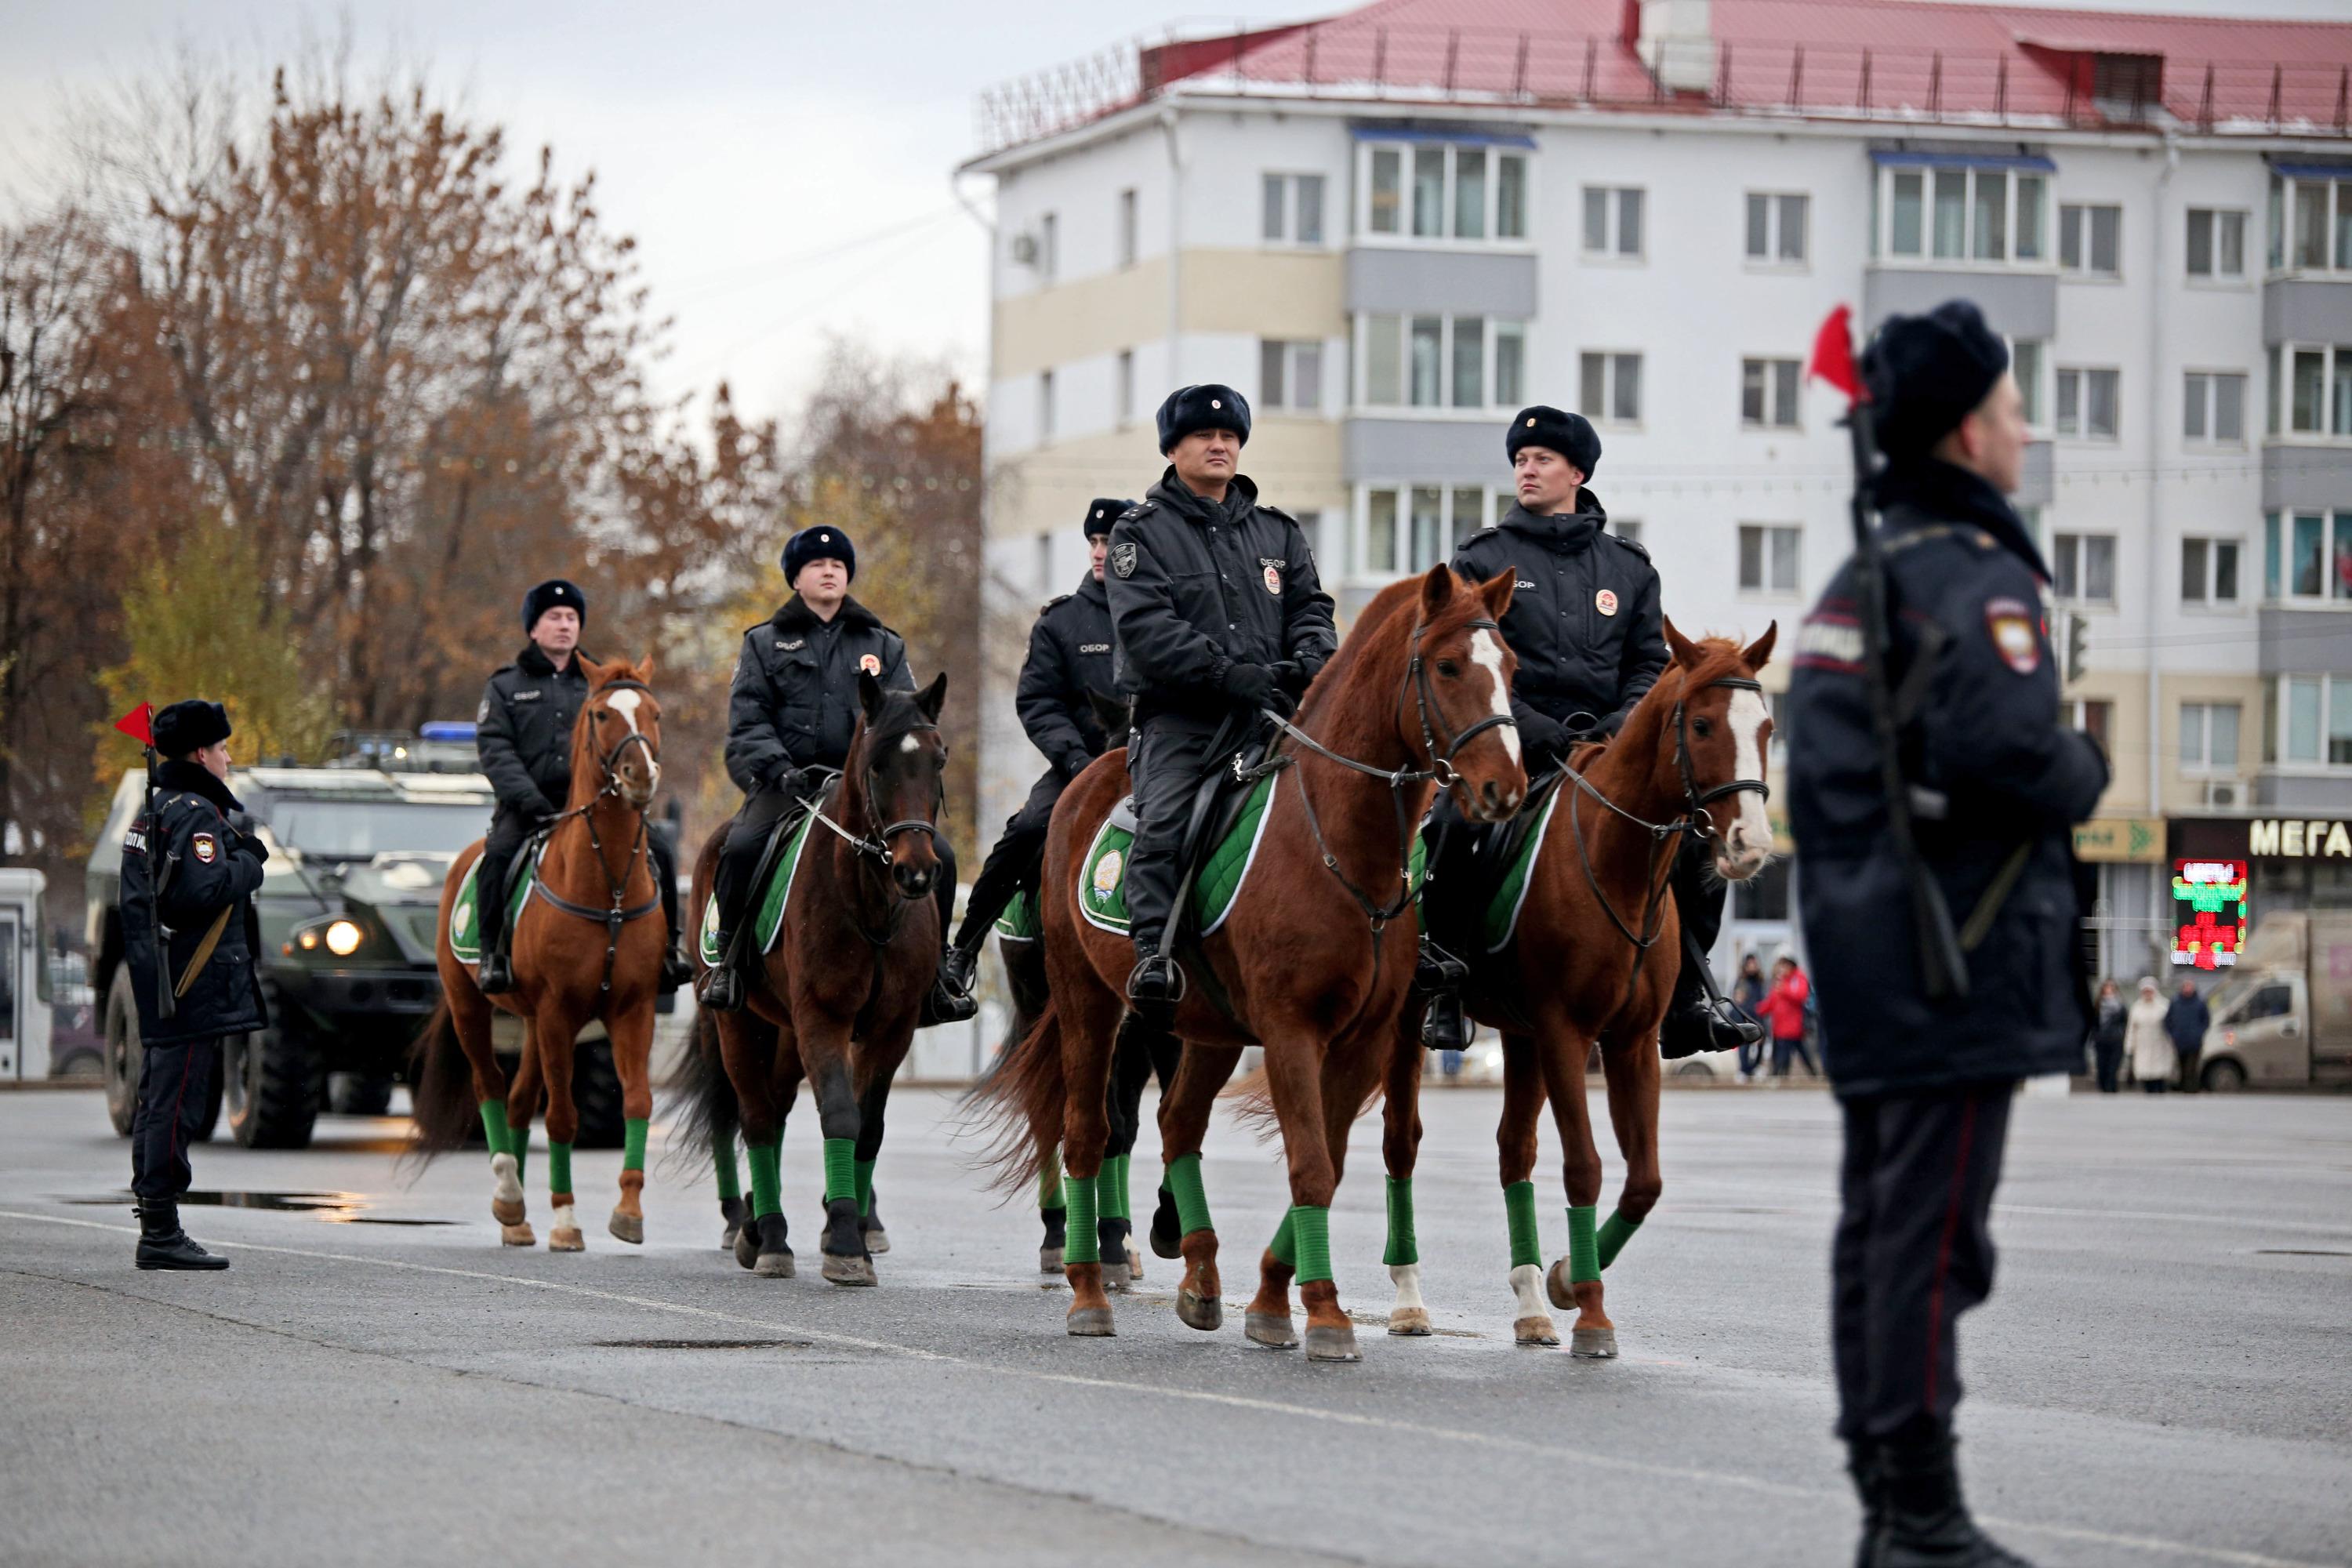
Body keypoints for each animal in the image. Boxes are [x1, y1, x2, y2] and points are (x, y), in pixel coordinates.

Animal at [414, 658, 668, 1260]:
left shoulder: (633, 1010)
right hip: (474, 1010)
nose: (641, 776)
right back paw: (510, 1198)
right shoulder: (558, 1014)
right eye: (600, 714)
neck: (608, 887)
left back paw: (517, 1218)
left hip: (532, 1023)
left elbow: (638, 1102)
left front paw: (628, 1211)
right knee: (490, 1087)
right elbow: (562, 1118)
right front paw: (567, 1220)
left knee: (517, 1101)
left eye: (655, 712)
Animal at [677, 677, 950, 1288]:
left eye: (938, 759)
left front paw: (851, 1234)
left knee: (776, 1113)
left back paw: (758, 1228)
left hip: (783, 1034)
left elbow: (868, 1127)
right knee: (757, 1119)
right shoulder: (824, 1019)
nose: (916, 872)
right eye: (877, 765)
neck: (869, 901)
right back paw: (770, 1235)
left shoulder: (891, 1030)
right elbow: (840, 1114)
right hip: (740, 1025)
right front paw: (845, 1240)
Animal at [974, 564, 1524, 1363]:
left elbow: (1327, 1162)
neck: (1335, 842)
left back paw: (1200, 1274)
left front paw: (1270, 1299)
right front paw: (1322, 1311)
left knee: (1176, 1124)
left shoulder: (1362, 1040)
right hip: (1088, 1004)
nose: (1504, 788)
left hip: (1206, 1029)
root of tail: (1090, 776)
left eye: (1510, 668)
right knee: (1086, 1131)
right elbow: (1311, 1163)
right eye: (1449, 667)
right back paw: (1087, 1290)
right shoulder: (1293, 1032)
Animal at [1374, 625, 1769, 1363]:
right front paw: (1590, 1312)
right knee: (1401, 1142)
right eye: (1702, 725)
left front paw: (1562, 1282)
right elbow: (1584, 1166)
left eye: (1766, 727)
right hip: (1412, 1025)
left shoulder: (1631, 1043)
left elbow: (1644, 1181)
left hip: (1520, 1036)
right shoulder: (1566, 1033)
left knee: (1514, 1150)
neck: (1616, 863)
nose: (1750, 843)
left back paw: (1532, 1305)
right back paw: (1409, 1299)